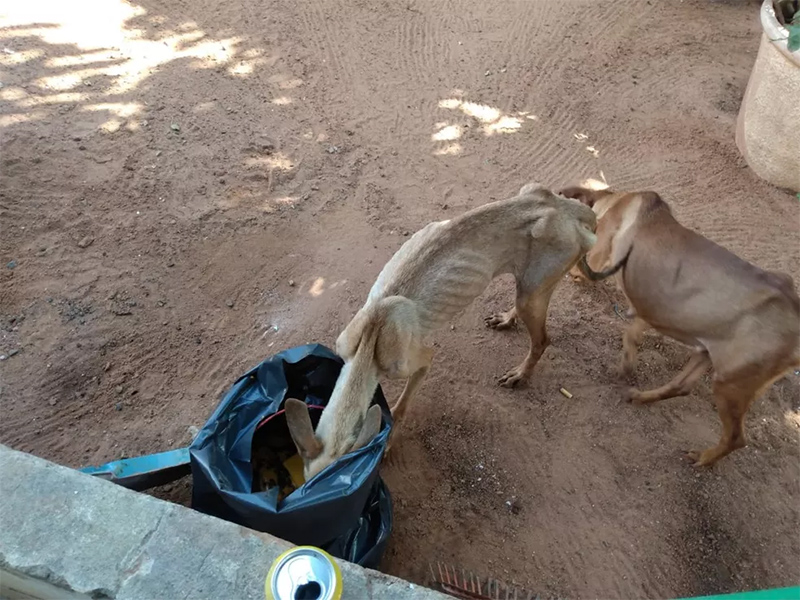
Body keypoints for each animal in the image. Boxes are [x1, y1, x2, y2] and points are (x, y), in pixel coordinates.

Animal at [284, 183, 596, 478]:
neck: (370, 340)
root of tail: (570, 210)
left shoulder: (419, 361)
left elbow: (401, 407)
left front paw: (389, 441)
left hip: (534, 290)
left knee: (542, 340)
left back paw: (519, 374)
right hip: (529, 266)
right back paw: (506, 320)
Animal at [564, 185, 800, 466]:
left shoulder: (599, 261)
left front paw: (626, 366)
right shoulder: (652, 310)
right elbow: (633, 333)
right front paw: (628, 364)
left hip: (730, 386)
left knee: (736, 438)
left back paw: (703, 458)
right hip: (709, 356)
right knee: (682, 387)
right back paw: (641, 397)